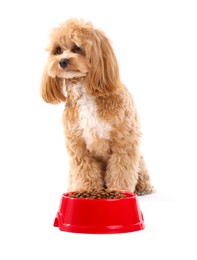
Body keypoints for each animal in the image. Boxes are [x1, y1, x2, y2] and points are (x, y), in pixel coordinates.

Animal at [40, 18, 154, 194]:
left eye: (77, 47)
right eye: (58, 50)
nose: (62, 61)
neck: (86, 91)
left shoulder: (123, 141)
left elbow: (121, 169)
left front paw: (118, 190)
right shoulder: (77, 144)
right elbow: (85, 171)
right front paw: (88, 190)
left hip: (139, 160)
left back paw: (142, 187)